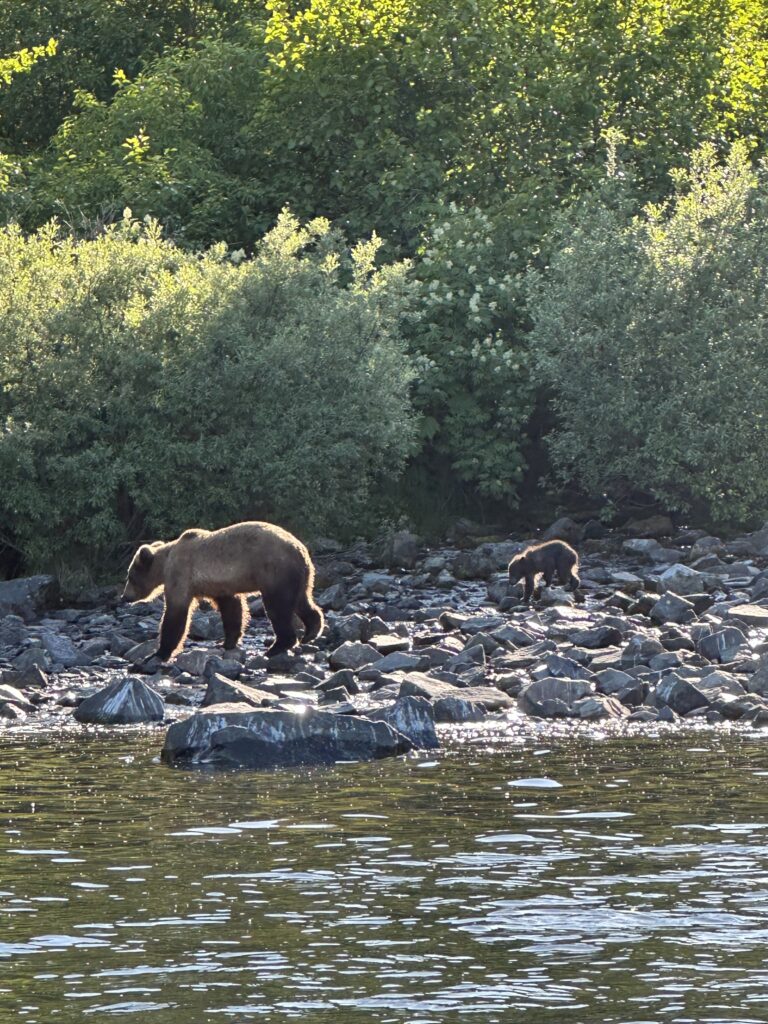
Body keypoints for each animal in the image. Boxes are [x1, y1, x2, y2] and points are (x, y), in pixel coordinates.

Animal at [121, 521, 324, 660]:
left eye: (130, 576)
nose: (125, 596)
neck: (165, 563)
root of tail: (300, 549)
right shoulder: (219, 584)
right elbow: (232, 609)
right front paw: (226, 642)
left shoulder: (181, 574)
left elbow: (175, 613)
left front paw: (158, 653)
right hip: (300, 576)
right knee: (302, 601)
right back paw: (311, 631)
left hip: (275, 571)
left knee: (277, 608)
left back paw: (277, 646)